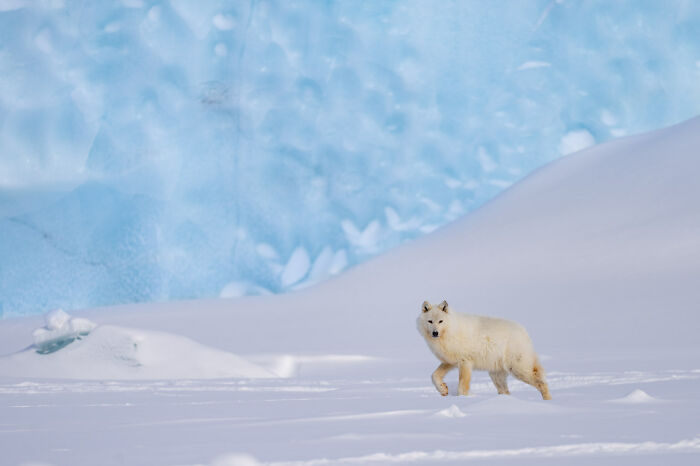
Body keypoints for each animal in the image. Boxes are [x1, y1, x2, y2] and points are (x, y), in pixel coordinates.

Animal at [418, 300, 548, 398]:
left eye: (441, 321)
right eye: (430, 321)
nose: (435, 333)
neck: (451, 331)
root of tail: (524, 331)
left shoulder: (465, 362)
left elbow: (462, 386)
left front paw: (463, 398)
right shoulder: (450, 362)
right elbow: (434, 376)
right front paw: (443, 389)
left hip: (517, 369)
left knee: (541, 382)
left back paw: (548, 401)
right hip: (496, 375)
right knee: (506, 391)